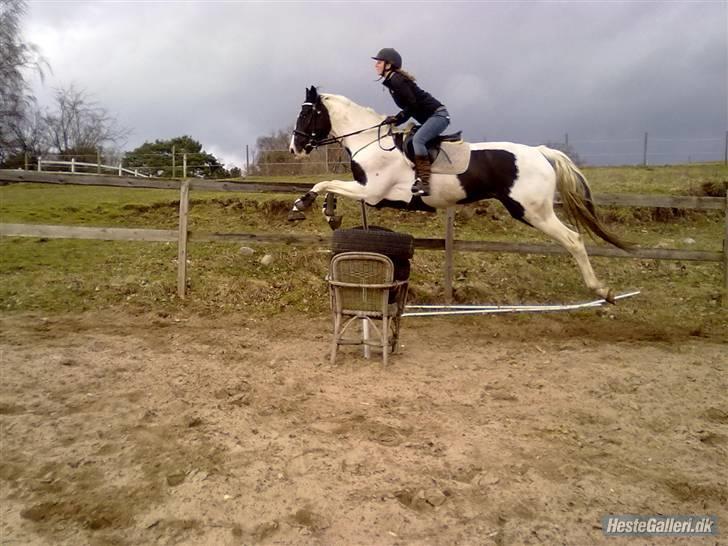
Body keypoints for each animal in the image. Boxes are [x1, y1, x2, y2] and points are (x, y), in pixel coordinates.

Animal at [288, 85, 628, 302]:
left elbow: (325, 183)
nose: (295, 148)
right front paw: (327, 212)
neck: (371, 142)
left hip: (533, 211)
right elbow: (331, 188)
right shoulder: (369, 193)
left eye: (307, 115)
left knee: (573, 240)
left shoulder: (372, 192)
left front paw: (300, 205)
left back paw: (602, 291)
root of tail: (540, 152)